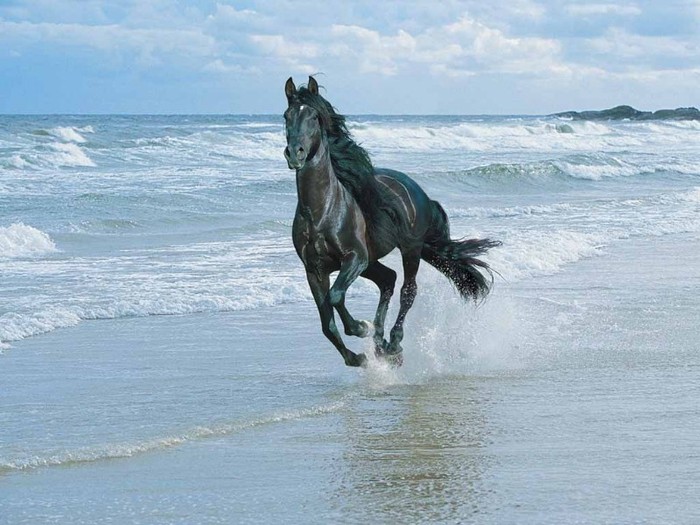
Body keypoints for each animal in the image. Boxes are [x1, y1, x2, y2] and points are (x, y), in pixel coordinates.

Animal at [284, 76, 501, 367]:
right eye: (286, 116)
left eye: (315, 117)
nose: (295, 154)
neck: (322, 212)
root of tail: (418, 191)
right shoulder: (314, 270)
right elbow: (326, 323)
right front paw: (357, 357)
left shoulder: (355, 258)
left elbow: (336, 296)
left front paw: (360, 327)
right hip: (373, 261)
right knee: (388, 279)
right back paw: (381, 344)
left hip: (409, 249)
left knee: (408, 290)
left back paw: (393, 343)